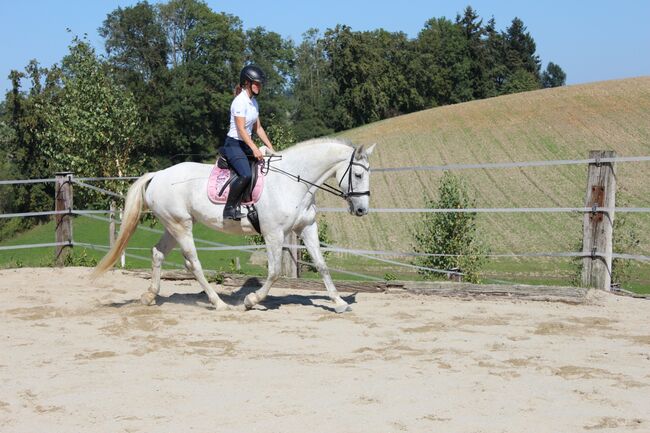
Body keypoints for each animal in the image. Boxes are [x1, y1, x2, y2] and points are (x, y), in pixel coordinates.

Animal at [91, 138, 374, 310]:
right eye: (358, 174)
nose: (362, 210)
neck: (293, 182)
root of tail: (158, 175)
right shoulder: (273, 233)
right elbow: (274, 272)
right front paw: (251, 300)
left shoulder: (306, 228)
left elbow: (322, 265)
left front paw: (339, 302)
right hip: (181, 226)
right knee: (192, 262)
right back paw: (219, 303)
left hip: (173, 225)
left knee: (158, 253)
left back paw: (150, 296)